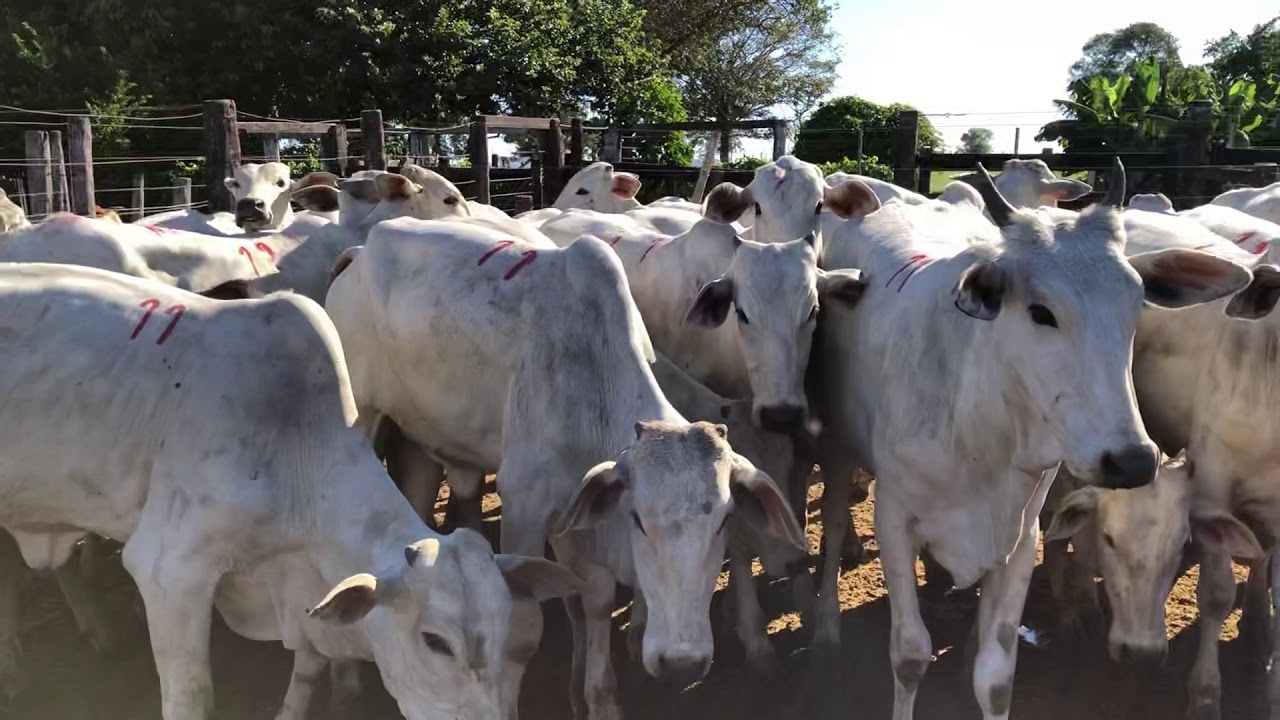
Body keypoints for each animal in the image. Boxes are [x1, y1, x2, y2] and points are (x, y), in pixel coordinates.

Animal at [320, 221, 803, 712]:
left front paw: (593, 694)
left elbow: (592, 600)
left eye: (724, 520)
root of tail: (358, 253)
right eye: (639, 520)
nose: (682, 662)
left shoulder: (576, 512)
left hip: (416, 439)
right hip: (365, 416)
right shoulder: (526, 506)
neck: (594, 387)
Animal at [803, 162, 1254, 717]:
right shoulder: (893, 520)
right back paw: (826, 627)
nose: (1130, 461)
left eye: (1136, 308)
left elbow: (996, 675)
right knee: (835, 524)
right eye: (1041, 311)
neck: (979, 426)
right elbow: (909, 656)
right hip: (839, 446)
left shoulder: (1022, 537)